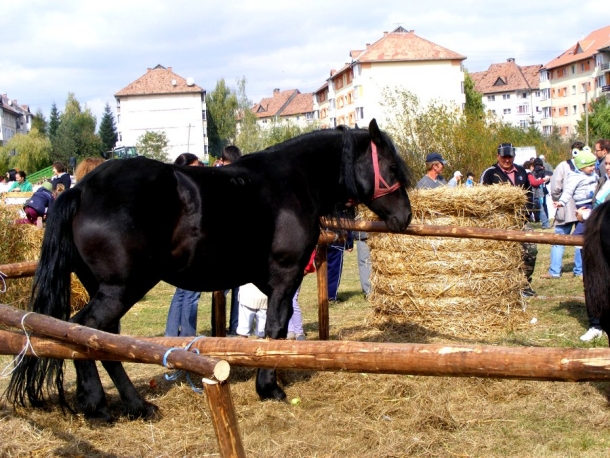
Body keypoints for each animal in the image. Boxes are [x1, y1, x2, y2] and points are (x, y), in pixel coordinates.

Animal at [5, 119, 408, 422]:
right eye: (391, 167)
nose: (405, 216)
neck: (292, 181)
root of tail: (81, 190)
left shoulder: (263, 280)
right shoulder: (285, 275)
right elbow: (275, 328)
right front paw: (269, 387)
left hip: (105, 290)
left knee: (102, 339)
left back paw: (135, 405)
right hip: (121, 289)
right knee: (83, 330)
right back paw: (98, 405)